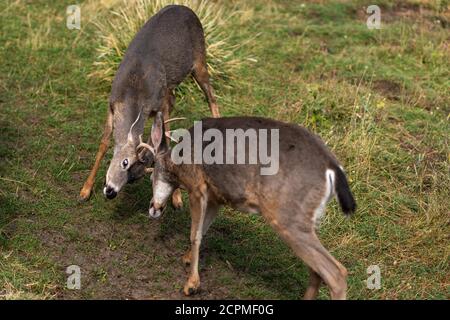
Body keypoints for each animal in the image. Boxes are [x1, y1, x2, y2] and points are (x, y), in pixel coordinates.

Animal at [79, 5, 221, 202]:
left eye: (132, 175)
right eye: (125, 164)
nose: (111, 191)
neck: (133, 91)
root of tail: (186, 8)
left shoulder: (159, 104)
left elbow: (166, 138)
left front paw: (177, 198)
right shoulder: (112, 104)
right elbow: (104, 143)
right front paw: (85, 190)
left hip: (199, 60)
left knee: (211, 96)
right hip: (173, 82)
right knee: (180, 97)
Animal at [139, 112, 356, 300]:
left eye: (151, 174)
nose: (153, 208)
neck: (178, 161)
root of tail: (333, 169)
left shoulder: (197, 186)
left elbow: (195, 235)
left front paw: (191, 284)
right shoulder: (216, 197)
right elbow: (204, 229)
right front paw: (187, 258)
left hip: (288, 216)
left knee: (336, 273)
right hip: (305, 219)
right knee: (316, 271)